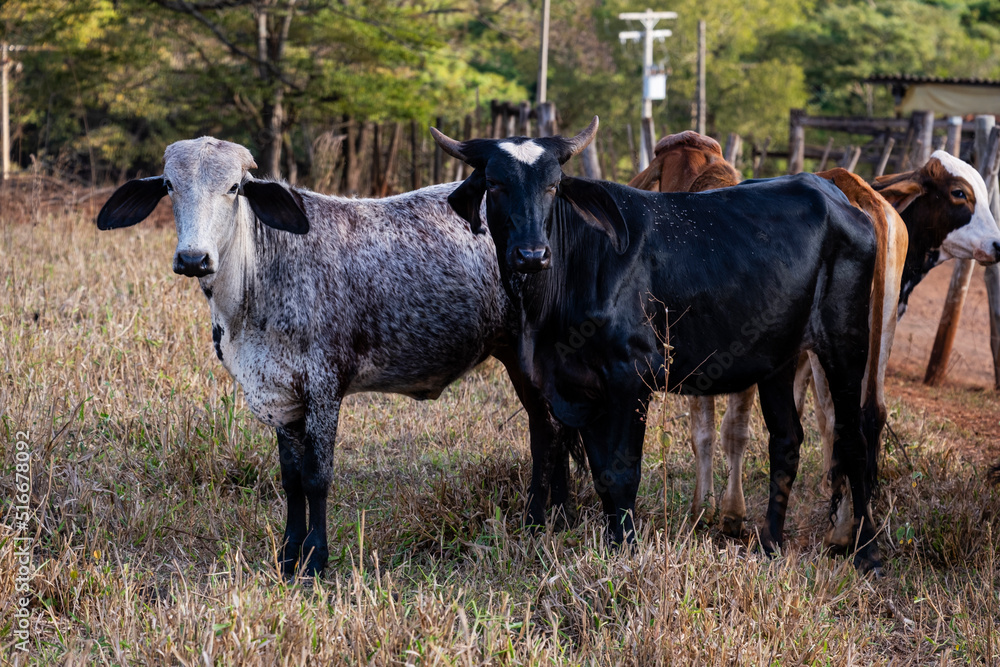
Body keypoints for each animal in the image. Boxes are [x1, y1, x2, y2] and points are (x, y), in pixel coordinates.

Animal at [96, 137, 580, 577]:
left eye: (234, 187)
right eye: (170, 185)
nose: (193, 258)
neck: (259, 279)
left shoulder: (324, 386)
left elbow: (317, 476)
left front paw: (315, 558)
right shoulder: (280, 392)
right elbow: (291, 479)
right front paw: (288, 555)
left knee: (548, 429)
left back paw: (539, 518)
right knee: (551, 427)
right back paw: (559, 517)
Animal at [432, 118, 893, 572]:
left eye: (554, 184)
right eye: (494, 183)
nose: (531, 255)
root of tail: (836, 195)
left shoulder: (631, 377)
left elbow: (623, 472)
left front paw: (626, 552)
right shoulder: (579, 388)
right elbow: (601, 473)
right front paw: (611, 544)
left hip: (845, 345)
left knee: (853, 437)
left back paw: (867, 551)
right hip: (778, 357)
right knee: (786, 441)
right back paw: (770, 545)